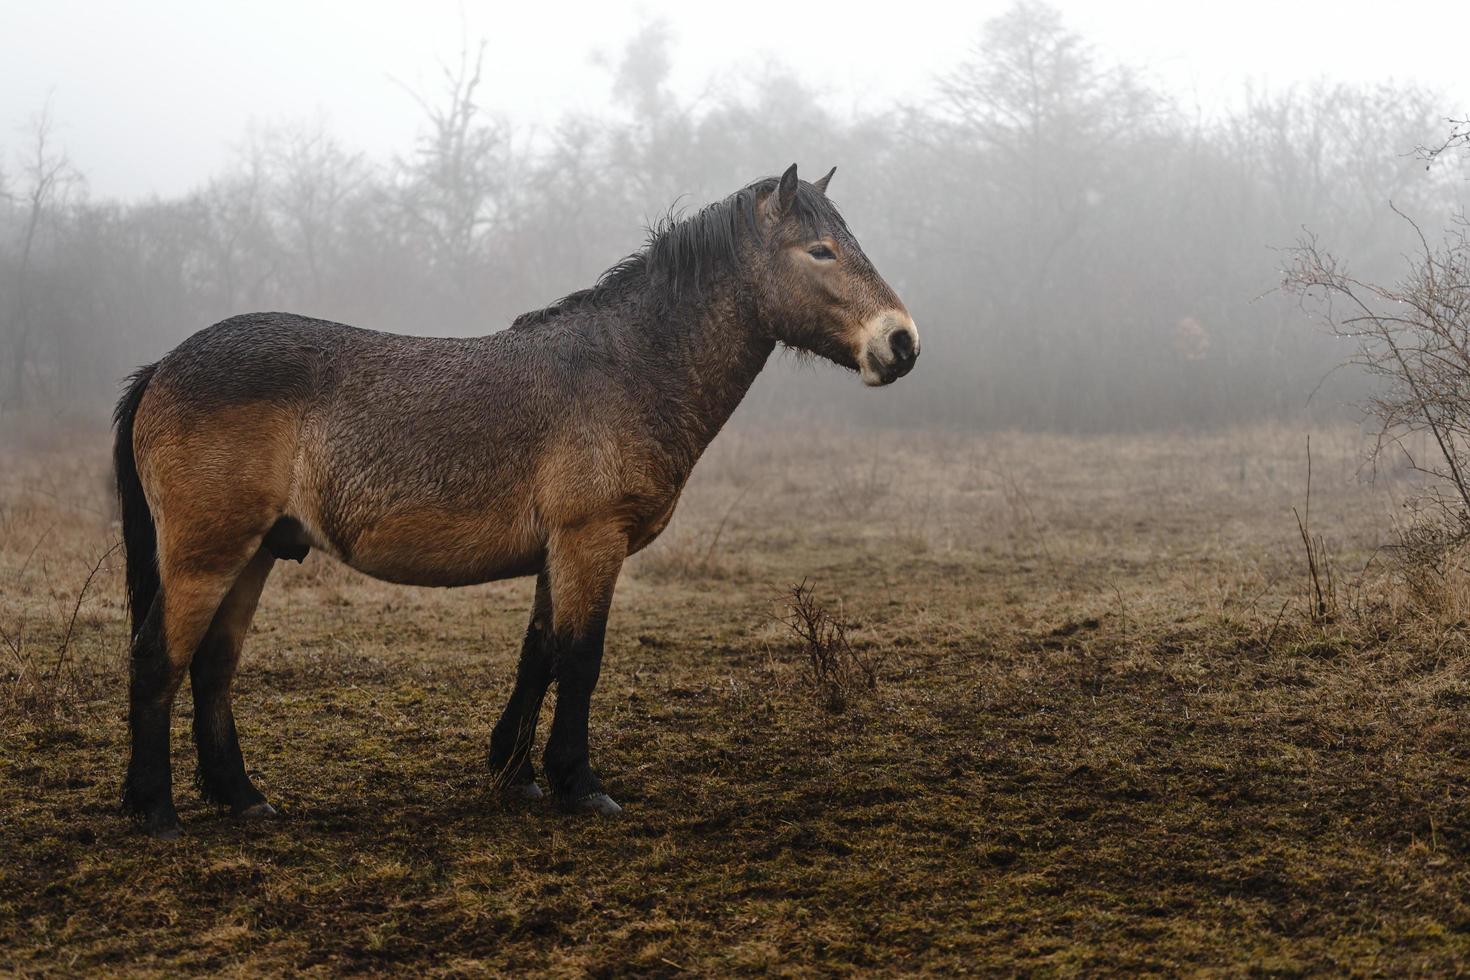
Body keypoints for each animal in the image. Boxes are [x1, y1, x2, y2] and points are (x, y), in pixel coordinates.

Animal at [114, 164, 917, 840]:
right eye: (820, 251)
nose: (902, 342)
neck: (627, 368)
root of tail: (164, 367)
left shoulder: (556, 551)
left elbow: (540, 654)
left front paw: (516, 773)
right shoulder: (591, 540)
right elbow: (581, 657)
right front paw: (578, 784)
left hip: (254, 553)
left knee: (213, 666)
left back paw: (242, 796)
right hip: (207, 554)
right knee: (159, 657)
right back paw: (155, 812)